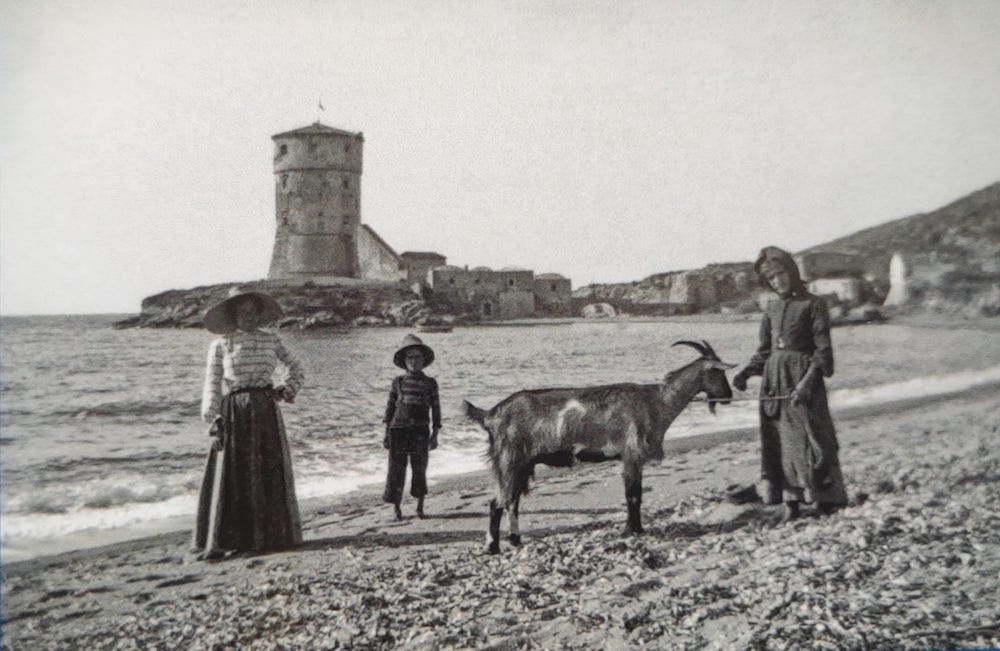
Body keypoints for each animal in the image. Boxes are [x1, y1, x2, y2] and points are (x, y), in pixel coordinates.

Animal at [462, 342, 736, 556]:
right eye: (718, 373)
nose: (728, 397)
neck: (656, 401)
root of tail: (491, 414)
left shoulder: (633, 458)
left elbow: (636, 494)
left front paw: (636, 528)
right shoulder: (632, 454)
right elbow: (633, 495)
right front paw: (632, 530)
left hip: (522, 464)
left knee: (512, 501)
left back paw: (515, 541)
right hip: (509, 459)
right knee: (497, 502)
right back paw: (493, 547)